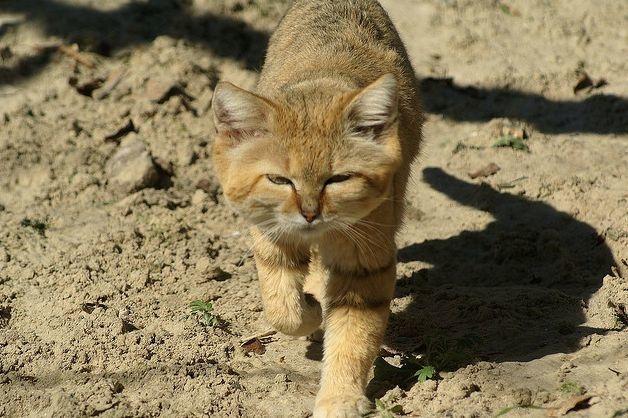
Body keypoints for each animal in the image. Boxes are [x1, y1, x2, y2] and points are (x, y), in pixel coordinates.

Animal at [213, 1, 424, 416]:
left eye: (338, 179)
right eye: (279, 180)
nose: (310, 213)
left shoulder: (365, 261)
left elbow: (354, 336)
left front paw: (339, 398)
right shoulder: (269, 234)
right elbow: (282, 308)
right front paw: (308, 310)